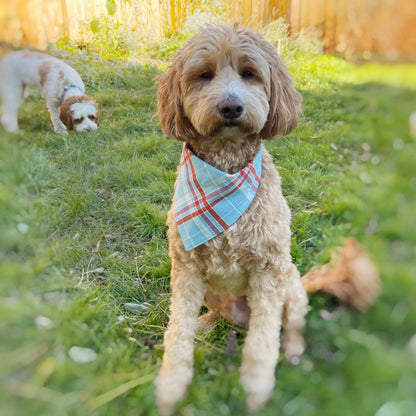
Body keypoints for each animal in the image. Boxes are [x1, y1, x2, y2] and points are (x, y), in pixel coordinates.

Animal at [154, 24, 308, 414]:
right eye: (204, 75)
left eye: (250, 73)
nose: (230, 106)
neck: (225, 167)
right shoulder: (186, 268)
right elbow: (177, 331)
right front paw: (171, 386)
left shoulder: (269, 270)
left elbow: (263, 342)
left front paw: (256, 389)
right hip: (211, 291)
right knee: (213, 315)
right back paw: (206, 323)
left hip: (292, 285)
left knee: (293, 324)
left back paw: (295, 348)